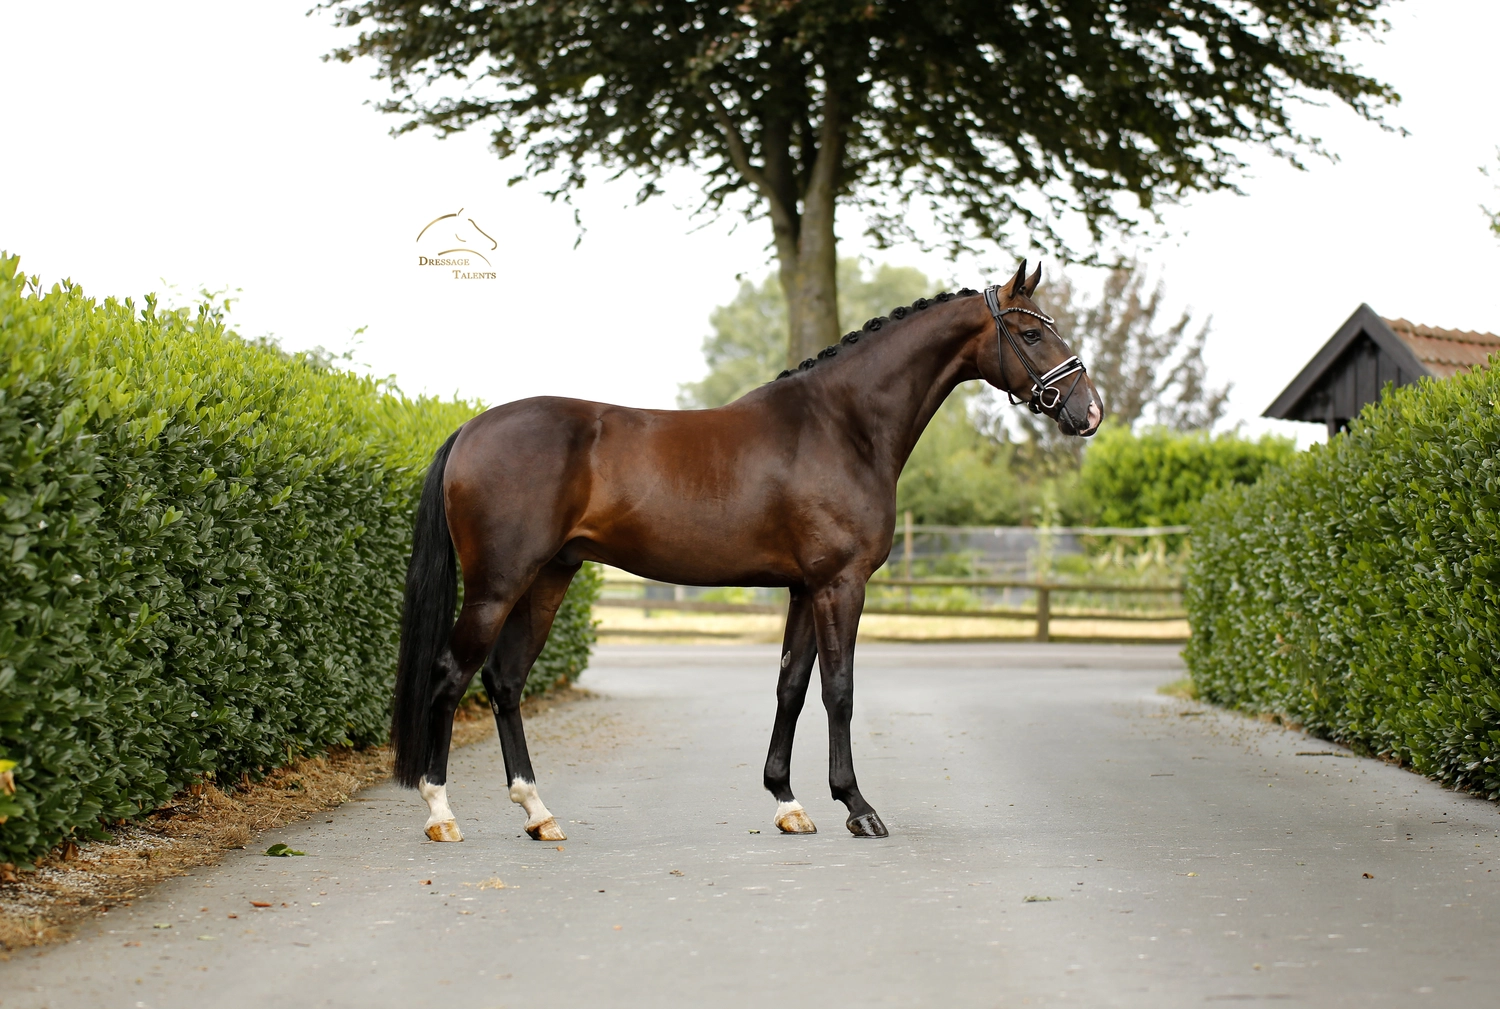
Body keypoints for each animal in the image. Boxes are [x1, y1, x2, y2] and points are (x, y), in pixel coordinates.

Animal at [393, 260, 1102, 843]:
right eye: (1031, 334)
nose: (1089, 412)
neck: (840, 425)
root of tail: (470, 429)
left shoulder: (805, 588)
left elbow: (791, 685)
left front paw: (788, 803)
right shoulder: (840, 585)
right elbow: (839, 689)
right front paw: (857, 807)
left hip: (548, 579)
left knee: (505, 680)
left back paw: (539, 814)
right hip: (497, 585)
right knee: (451, 675)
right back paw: (441, 813)